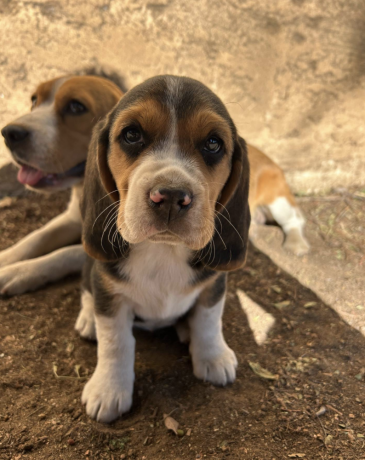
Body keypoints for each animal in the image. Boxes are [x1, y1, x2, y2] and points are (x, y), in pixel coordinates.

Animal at [0, 71, 308, 294]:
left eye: (76, 107)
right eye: (34, 100)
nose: (11, 133)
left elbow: (65, 252)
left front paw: (20, 271)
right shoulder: (75, 219)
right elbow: (36, 238)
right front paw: (10, 261)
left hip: (279, 200)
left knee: (295, 220)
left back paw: (296, 244)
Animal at [78, 74, 252, 420]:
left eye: (213, 143)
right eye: (132, 134)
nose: (171, 195)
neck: (162, 251)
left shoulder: (214, 283)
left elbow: (209, 320)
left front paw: (213, 357)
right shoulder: (109, 292)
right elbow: (115, 342)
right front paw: (108, 389)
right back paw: (88, 318)